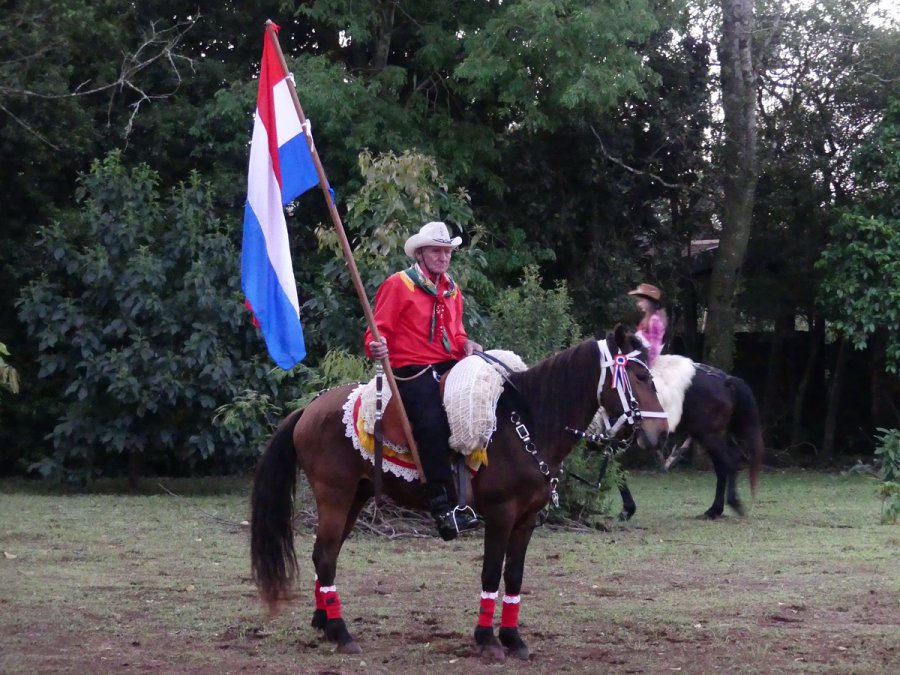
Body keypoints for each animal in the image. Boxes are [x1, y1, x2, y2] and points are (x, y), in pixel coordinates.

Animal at [249, 325, 669, 661]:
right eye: (638, 375)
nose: (661, 433)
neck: (524, 423)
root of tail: (308, 409)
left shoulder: (527, 519)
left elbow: (514, 575)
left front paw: (513, 637)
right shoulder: (500, 515)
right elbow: (491, 572)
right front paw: (487, 640)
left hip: (354, 497)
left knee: (327, 555)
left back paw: (323, 622)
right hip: (334, 496)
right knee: (324, 555)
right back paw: (341, 632)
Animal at [612, 354, 765, 521]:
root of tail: (724, 379)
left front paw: (627, 510)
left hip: (708, 435)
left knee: (728, 461)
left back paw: (728, 504)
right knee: (723, 465)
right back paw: (715, 510)